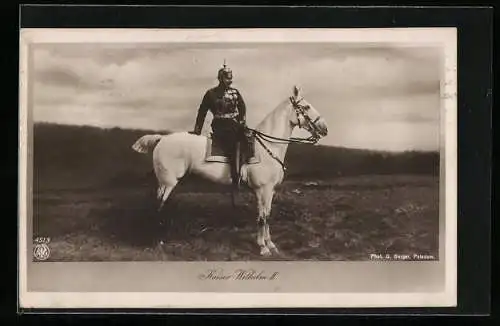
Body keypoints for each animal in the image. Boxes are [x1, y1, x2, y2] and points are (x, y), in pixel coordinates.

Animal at [131, 86, 330, 255]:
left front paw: (271, 244)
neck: (268, 147)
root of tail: (161, 139)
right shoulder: (262, 190)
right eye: (306, 106)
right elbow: (261, 217)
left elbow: (267, 215)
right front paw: (263, 247)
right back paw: (155, 240)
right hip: (168, 183)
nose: (325, 129)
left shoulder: (270, 191)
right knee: (158, 205)